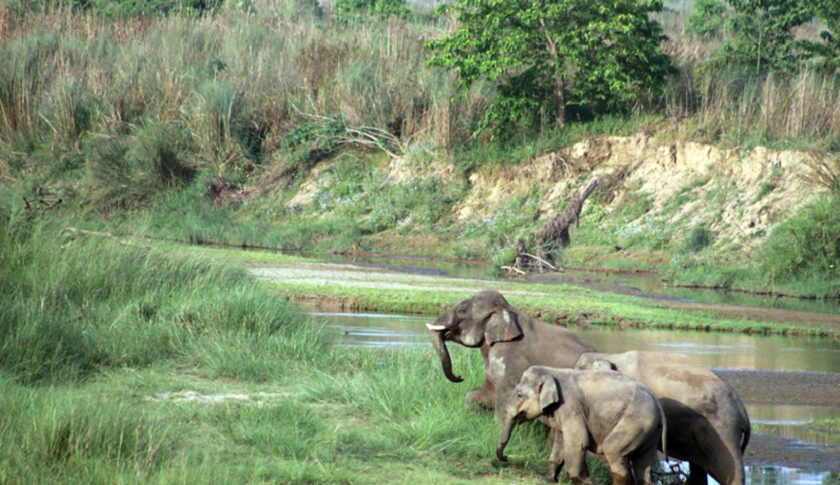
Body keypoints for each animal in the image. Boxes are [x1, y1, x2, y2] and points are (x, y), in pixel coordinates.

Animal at [426, 290, 596, 418]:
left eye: (462, 310)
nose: (460, 377)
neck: (507, 309)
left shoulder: (509, 360)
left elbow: (504, 399)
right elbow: (485, 390)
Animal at [496, 364, 668, 482]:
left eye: (519, 395)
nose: (506, 457)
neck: (553, 371)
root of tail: (657, 404)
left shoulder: (571, 406)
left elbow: (578, 440)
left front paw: (587, 481)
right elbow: (561, 442)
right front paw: (546, 479)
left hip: (635, 422)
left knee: (613, 450)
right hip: (650, 431)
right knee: (643, 467)